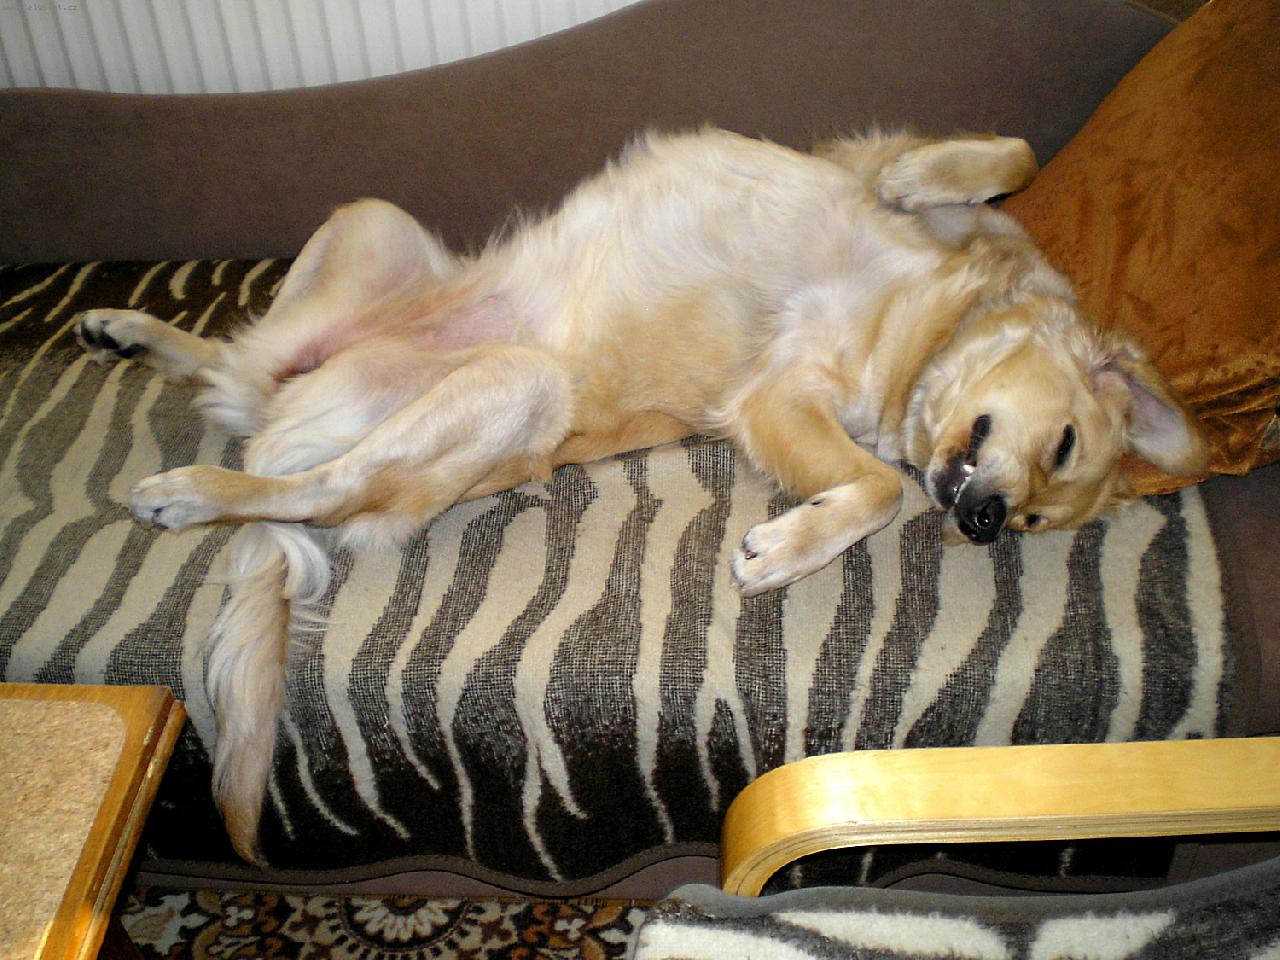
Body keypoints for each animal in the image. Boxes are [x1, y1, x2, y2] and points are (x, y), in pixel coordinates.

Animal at [74, 128, 1208, 862]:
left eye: (1035, 521)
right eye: (1062, 444)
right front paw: (933, 175)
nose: (982, 521)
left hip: (507, 383)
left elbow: (880, 487)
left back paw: (192, 480)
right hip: (372, 231)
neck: (921, 335)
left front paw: (786, 546)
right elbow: (1003, 156)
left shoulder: (780, 398)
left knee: (306, 483)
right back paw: (131, 334)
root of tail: (296, 404)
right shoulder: (863, 220)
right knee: (243, 376)